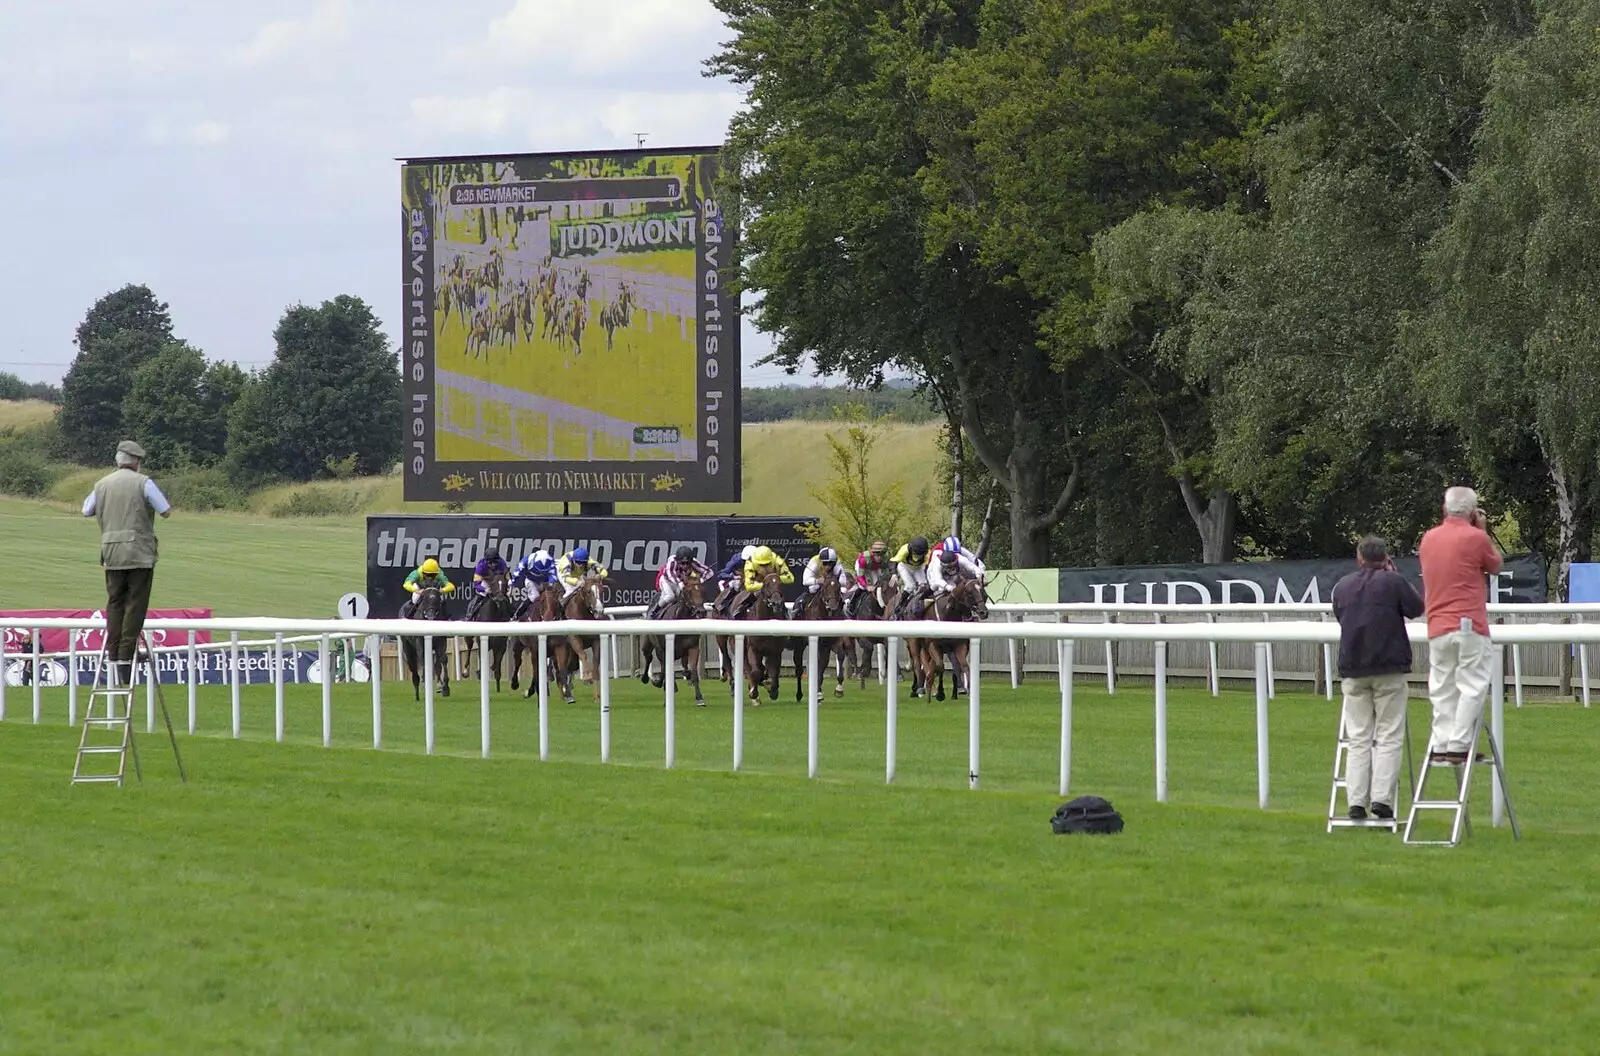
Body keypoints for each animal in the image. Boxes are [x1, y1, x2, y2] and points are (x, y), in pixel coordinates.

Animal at [640, 572, 710, 704]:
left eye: (703, 590)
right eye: (688, 591)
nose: (701, 612)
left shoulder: (693, 648)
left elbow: (693, 671)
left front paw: (699, 698)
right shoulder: (666, 649)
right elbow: (667, 670)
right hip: (648, 644)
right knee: (649, 657)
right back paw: (647, 679)